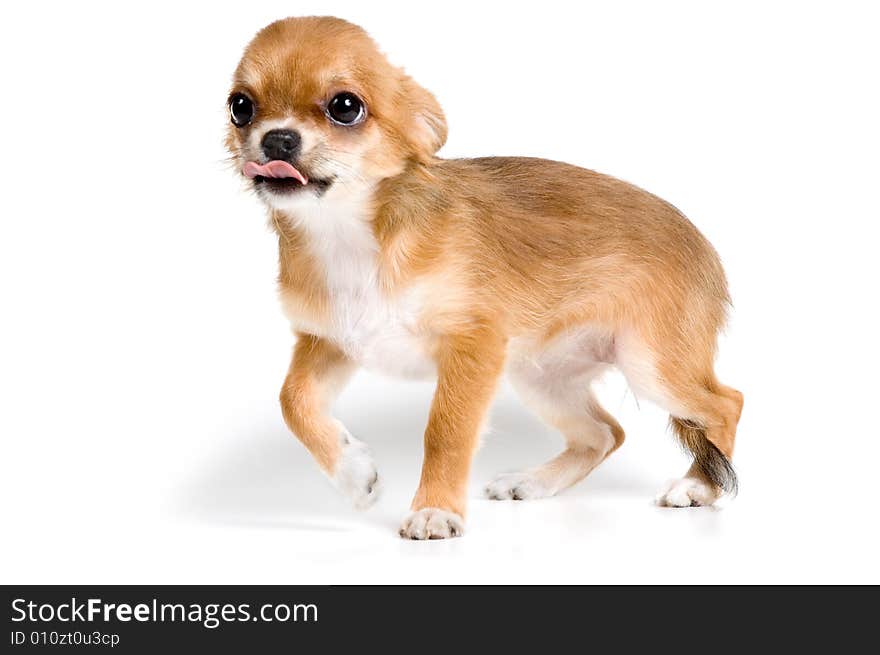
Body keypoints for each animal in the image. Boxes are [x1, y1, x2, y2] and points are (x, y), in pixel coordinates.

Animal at [225, 16, 744, 540]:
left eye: (345, 107)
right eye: (240, 107)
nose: (277, 139)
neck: (347, 234)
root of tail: (705, 248)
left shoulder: (472, 347)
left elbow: (445, 431)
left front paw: (435, 508)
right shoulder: (329, 342)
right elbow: (293, 402)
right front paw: (354, 474)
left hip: (650, 364)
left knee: (726, 403)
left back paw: (699, 487)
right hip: (540, 376)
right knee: (605, 433)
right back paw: (534, 482)